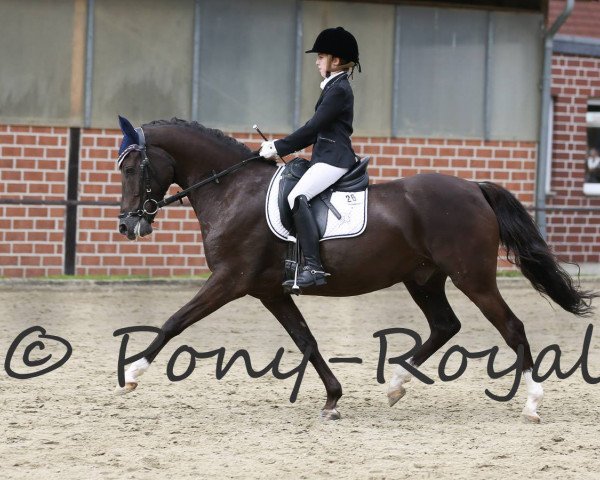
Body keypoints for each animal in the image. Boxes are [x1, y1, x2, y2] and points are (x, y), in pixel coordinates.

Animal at [115, 115, 592, 420]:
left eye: (133, 168)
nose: (126, 225)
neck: (232, 188)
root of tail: (474, 188)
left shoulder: (230, 280)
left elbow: (175, 321)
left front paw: (132, 375)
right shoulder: (270, 290)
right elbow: (306, 340)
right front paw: (333, 399)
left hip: (472, 278)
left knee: (510, 327)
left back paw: (532, 402)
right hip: (423, 278)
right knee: (445, 326)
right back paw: (396, 384)